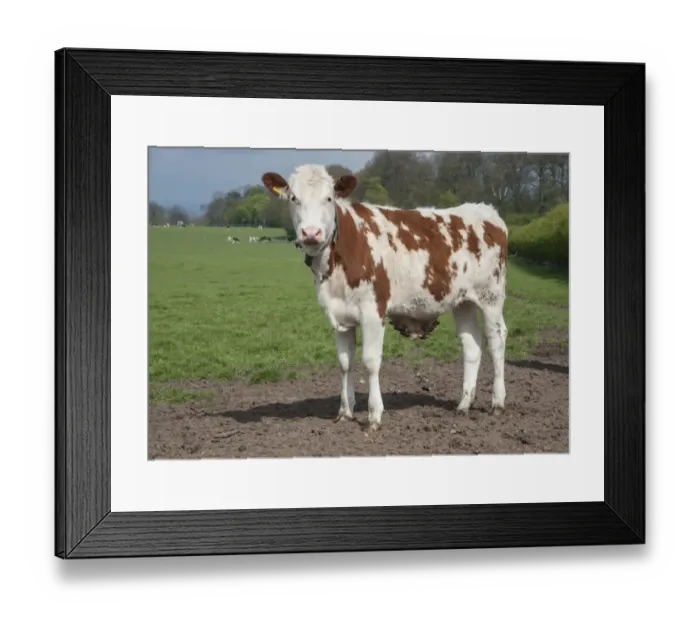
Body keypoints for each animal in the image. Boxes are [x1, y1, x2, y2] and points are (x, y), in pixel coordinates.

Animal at [262, 164, 508, 432]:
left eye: (329, 198)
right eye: (293, 198)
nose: (310, 233)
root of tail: (485, 211)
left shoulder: (373, 312)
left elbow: (370, 362)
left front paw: (374, 415)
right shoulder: (340, 315)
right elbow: (345, 363)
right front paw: (345, 411)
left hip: (491, 296)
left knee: (497, 339)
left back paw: (497, 403)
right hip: (463, 302)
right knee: (471, 344)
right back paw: (464, 404)